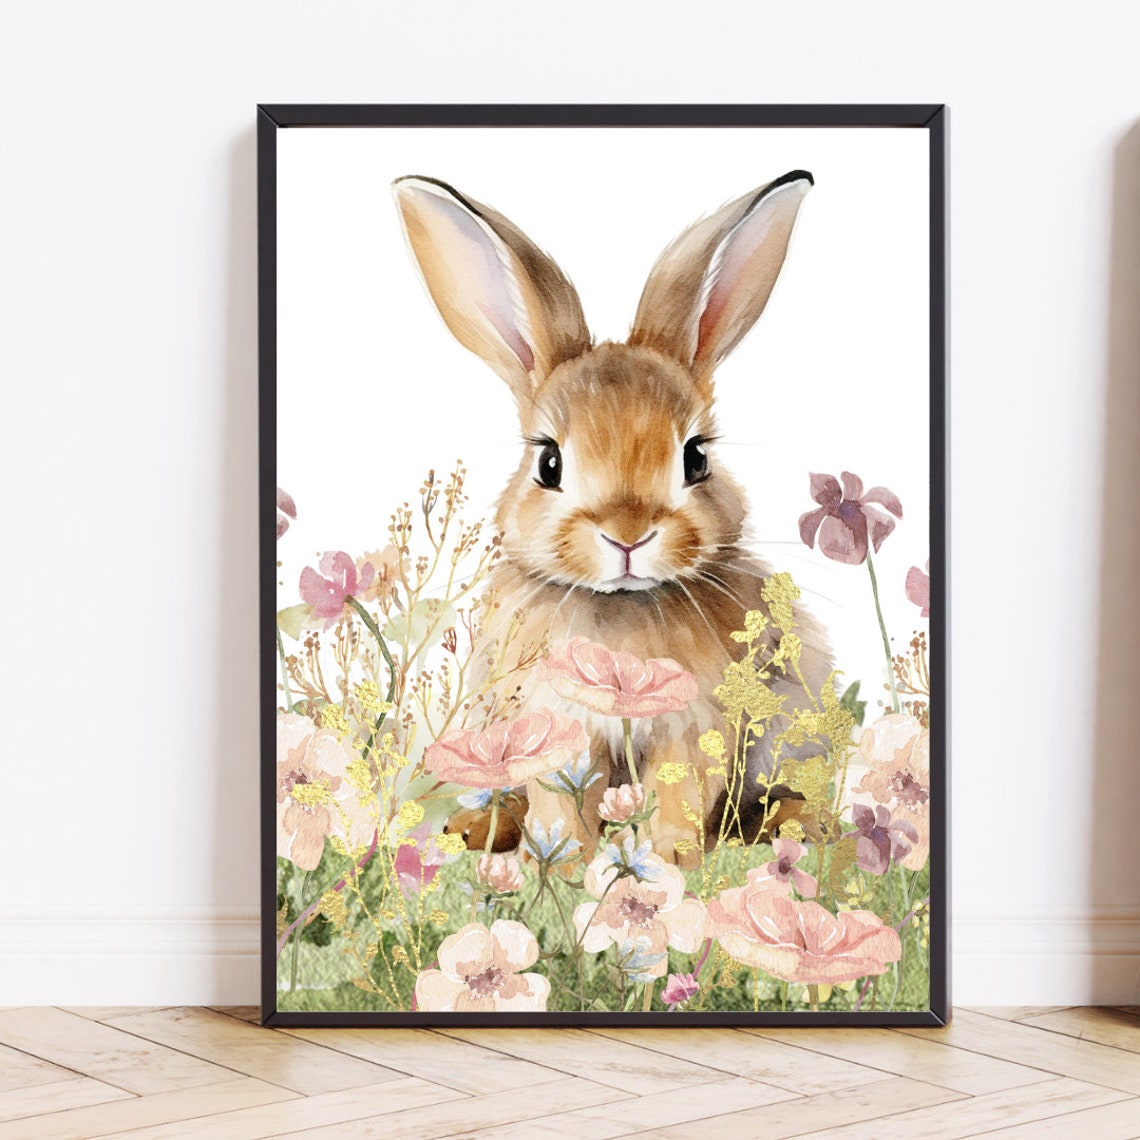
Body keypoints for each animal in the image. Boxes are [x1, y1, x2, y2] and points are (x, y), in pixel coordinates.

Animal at [393, 171, 832, 867]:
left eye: (696, 457)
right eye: (548, 462)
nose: (628, 536)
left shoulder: (696, 724)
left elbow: (679, 793)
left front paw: (669, 860)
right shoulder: (554, 724)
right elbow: (560, 797)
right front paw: (562, 859)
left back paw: (792, 826)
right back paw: (476, 828)